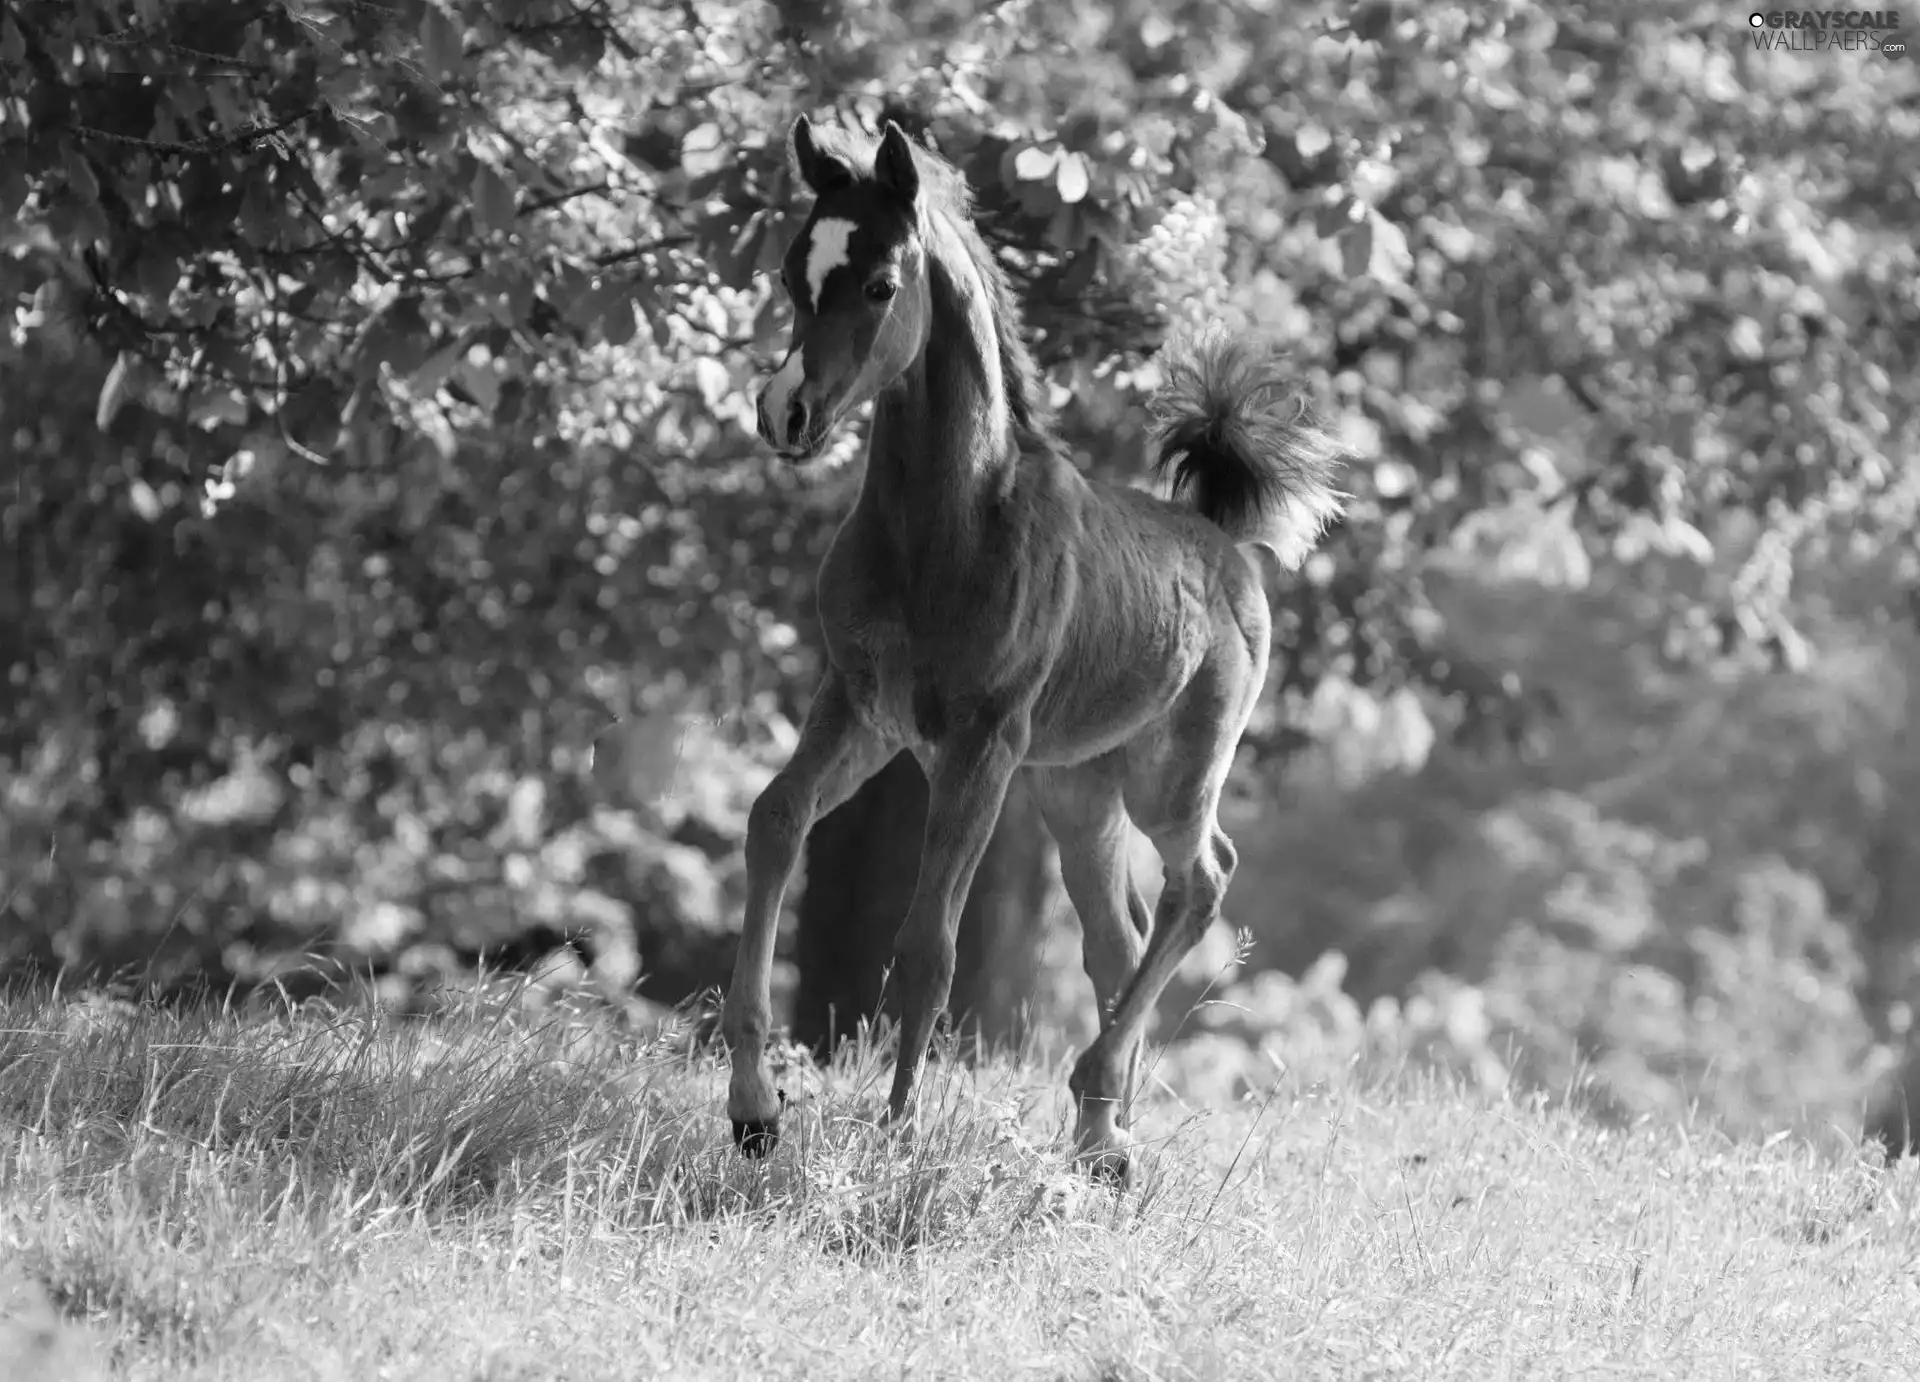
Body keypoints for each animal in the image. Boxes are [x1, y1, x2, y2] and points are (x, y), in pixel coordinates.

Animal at [721, 116, 1351, 1174]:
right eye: (790, 274)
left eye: (881, 284)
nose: (784, 414)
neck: (944, 526)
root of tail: (1226, 546)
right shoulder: (860, 705)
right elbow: (775, 820)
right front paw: (753, 1109)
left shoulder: (982, 740)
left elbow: (929, 943)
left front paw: (897, 1137)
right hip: (1074, 791)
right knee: (1117, 932)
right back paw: (1101, 1138)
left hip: (1167, 780)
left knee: (1200, 883)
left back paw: (1099, 1106)